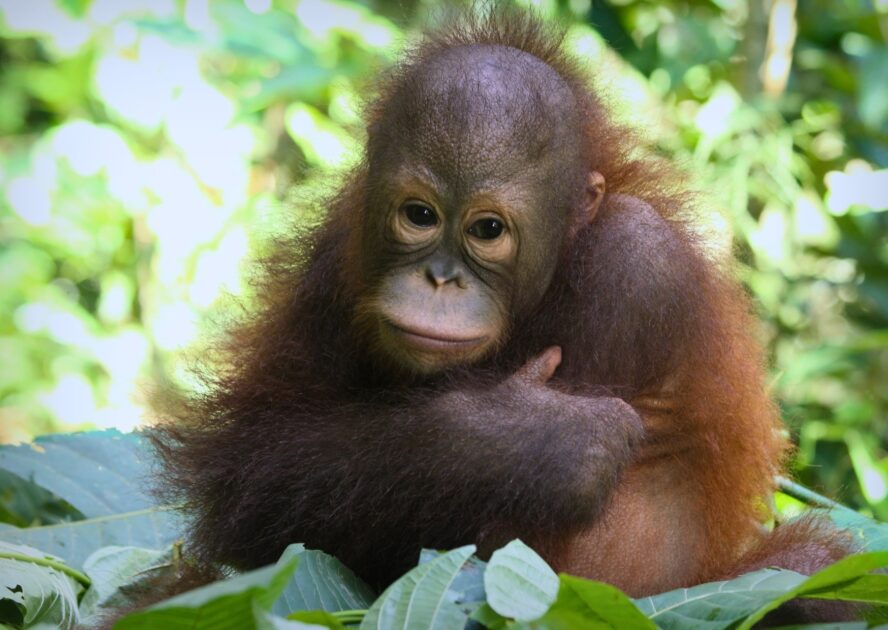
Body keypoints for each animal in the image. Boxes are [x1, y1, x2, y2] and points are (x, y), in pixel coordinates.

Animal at [150, 10, 854, 621]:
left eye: (487, 229)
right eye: (419, 215)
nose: (439, 280)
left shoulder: (635, 265)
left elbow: (561, 571)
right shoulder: (336, 256)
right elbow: (254, 472)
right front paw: (522, 438)